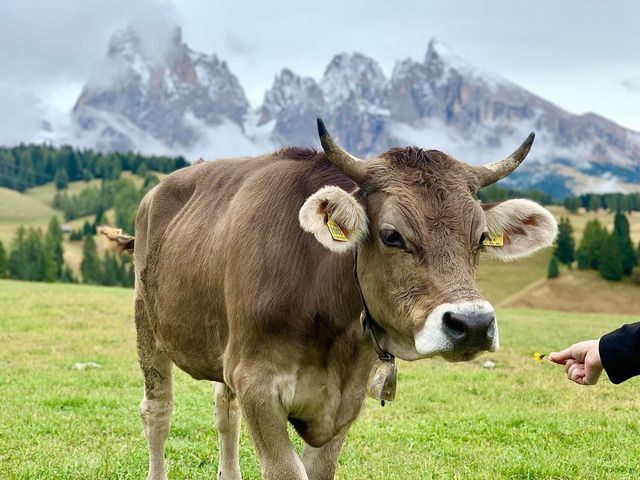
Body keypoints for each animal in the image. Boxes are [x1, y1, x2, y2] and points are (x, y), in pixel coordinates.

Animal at [104, 118, 556, 478]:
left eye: (480, 239)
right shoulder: (256, 381)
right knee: (157, 411)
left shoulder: (345, 398)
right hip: (148, 323)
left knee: (224, 410)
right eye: (391, 235)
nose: (473, 324)